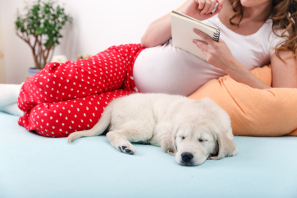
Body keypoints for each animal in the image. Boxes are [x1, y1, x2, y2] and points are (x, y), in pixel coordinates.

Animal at [67, 93, 236, 166]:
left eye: (202, 140)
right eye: (181, 137)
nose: (186, 156)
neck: (202, 110)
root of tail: (115, 102)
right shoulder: (162, 131)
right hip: (144, 124)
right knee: (111, 133)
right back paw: (125, 146)